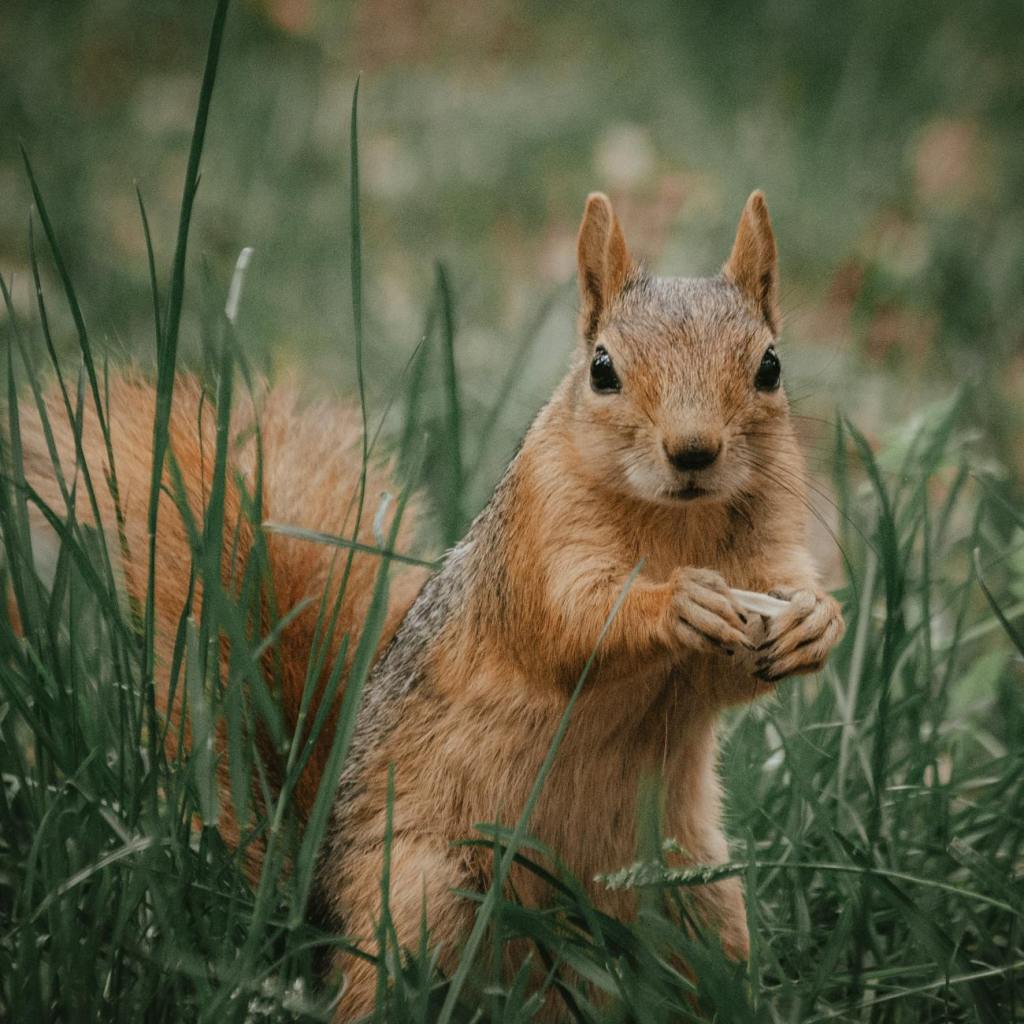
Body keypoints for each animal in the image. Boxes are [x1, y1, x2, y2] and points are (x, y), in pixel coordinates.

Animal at [20, 189, 844, 1018]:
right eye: (602, 369)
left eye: (770, 365)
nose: (693, 451)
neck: (678, 524)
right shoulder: (532, 543)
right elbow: (567, 627)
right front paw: (676, 604)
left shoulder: (772, 544)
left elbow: (730, 670)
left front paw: (816, 622)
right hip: (417, 894)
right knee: (375, 984)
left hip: (696, 902)